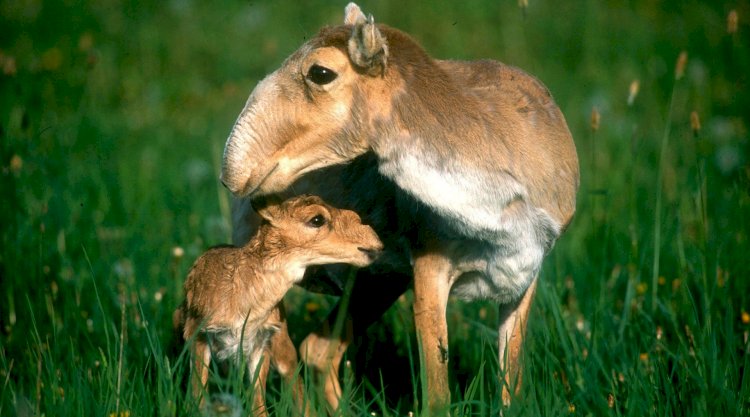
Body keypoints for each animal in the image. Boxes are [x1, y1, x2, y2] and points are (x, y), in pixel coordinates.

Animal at [220, 2, 580, 412]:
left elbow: (512, 387)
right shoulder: (430, 271)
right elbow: (437, 395)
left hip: (379, 282)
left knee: (318, 349)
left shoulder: (524, 278)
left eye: (320, 72)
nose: (235, 170)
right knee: (289, 353)